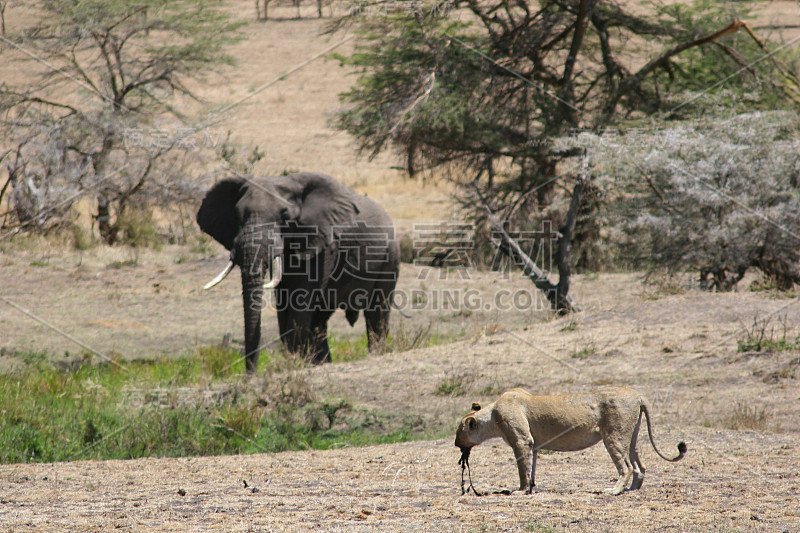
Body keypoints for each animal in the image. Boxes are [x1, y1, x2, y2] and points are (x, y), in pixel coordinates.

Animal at [195, 172, 400, 372]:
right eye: (237, 215)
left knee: (376, 313)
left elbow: (300, 301)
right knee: (320, 320)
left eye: (285, 216)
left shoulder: (324, 244)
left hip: (389, 258)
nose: (250, 375)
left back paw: (374, 354)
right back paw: (322, 363)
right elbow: (284, 302)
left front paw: (292, 365)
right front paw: (294, 364)